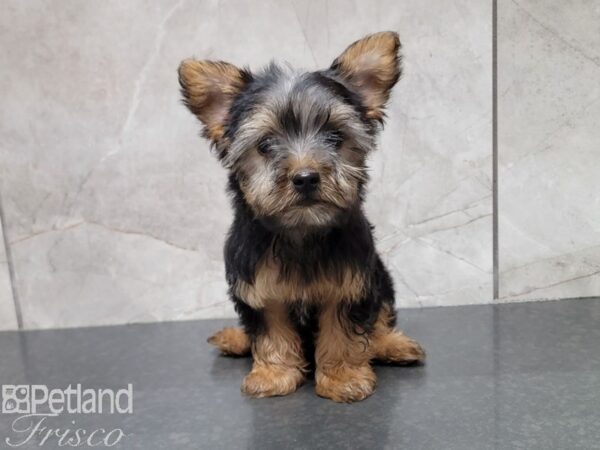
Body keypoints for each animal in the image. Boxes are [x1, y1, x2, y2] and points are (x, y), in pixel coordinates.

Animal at [180, 32, 424, 404]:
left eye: (335, 137)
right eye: (266, 145)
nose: (306, 177)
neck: (301, 231)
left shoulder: (350, 285)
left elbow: (343, 334)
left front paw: (342, 377)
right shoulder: (258, 286)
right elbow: (271, 332)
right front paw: (274, 375)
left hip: (380, 278)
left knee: (380, 317)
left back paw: (392, 345)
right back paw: (234, 338)